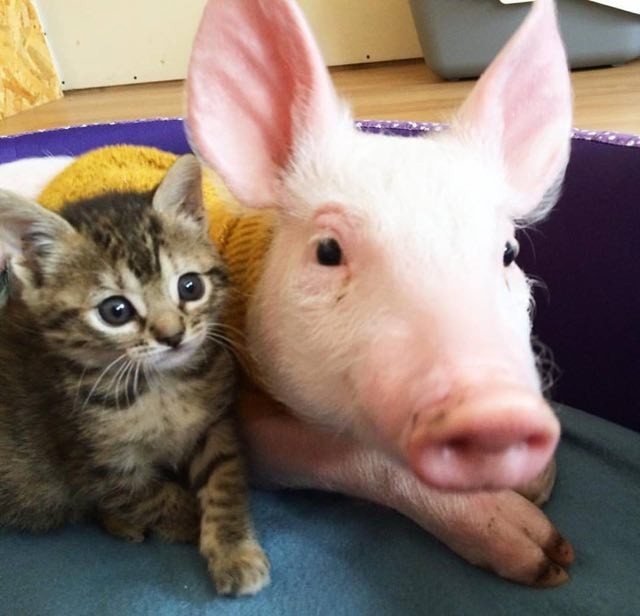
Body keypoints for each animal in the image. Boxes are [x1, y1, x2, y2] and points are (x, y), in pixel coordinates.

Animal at [0, 155, 268, 596]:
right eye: (116, 311)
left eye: (190, 286)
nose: (173, 336)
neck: (161, 387)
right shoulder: (96, 461)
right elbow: (147, 495)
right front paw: (186, 520)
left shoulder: (215, 424)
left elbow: (223, 478)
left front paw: (233, 550)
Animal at [189, 0, 576, 588]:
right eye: (328, 251)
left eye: (508, 252)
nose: (497, 406)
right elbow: (350, 457)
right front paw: (547, 558)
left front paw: (542, 488)